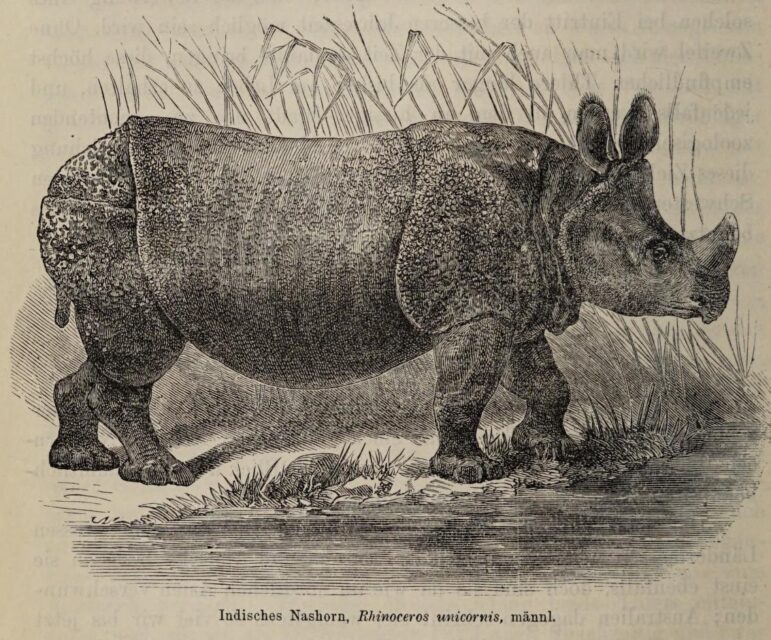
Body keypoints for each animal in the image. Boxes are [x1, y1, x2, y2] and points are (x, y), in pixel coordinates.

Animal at [38, 92, 738, 486]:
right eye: (659, 253)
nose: (715, 303)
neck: (563, 202)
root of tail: (65, 173)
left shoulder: (512, 302)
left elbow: (544, 378)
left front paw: (551, 450)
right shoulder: (469, 308)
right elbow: (466, 387)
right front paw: (468, 472)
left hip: (94, 214)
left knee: (114, 352)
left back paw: (81, 462)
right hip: (101, 214)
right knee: (141, 352)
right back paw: (164, 476)